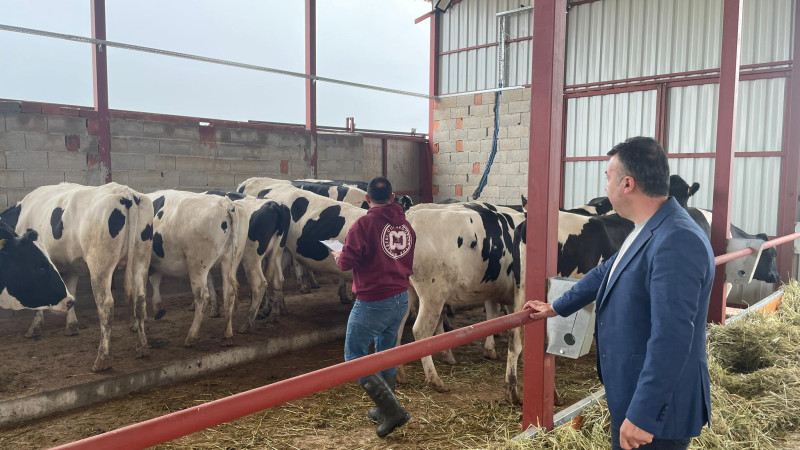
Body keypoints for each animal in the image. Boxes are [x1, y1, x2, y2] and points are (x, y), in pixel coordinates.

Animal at [0, 181, 153, 370]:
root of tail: (127, 193)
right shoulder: (72, 267)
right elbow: (71, 292)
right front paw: (71, 327)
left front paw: (34, 329)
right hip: (141, 259)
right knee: (140, 301)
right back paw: (142, 348)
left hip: (99, 264)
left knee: (106, 306)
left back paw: (102, 359)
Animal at [144, 190, 244, 348]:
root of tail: (225, 203)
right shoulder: (156, 261)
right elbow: (155, 280)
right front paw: (158, 309)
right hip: (230, 260)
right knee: (229, 294)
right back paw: (227, 336)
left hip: (197, 264)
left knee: (202, 296)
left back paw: (191, 336)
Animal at [206, 188, 290, 332]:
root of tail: (274, 205)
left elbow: (209, 281)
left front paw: (214, 309)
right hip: (278, 252)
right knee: (278, 279)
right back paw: (274, 314)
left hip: (252, 257)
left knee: (260, 283)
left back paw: (247, 322)